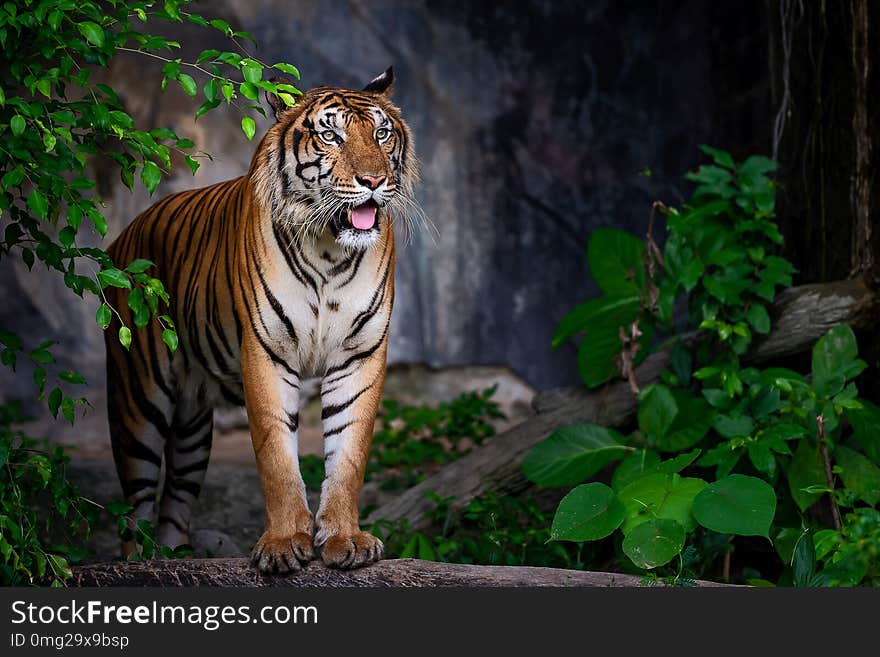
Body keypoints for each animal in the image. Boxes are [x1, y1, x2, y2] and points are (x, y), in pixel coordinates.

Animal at [103, 64, 420, 572]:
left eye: (381, 133)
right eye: (330, 135)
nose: (374, 180)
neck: (330, 251)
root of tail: (122, 239)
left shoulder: (359, 355)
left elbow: (348, 454)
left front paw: (345, 538)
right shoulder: (267, 351)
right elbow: (276, 456)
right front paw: (284, 542)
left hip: (192, 426)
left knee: (174, 505)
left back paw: (172, 560)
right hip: (139, 402)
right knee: (135, 507)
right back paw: (138, 565)